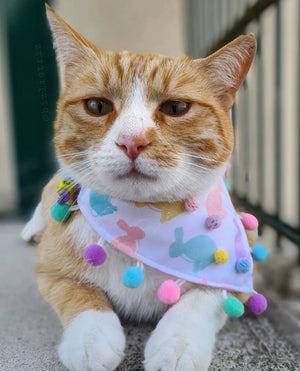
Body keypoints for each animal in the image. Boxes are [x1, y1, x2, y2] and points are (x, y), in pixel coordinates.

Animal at [21, 3, 255, 371]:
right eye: (97, 106)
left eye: (176, 108)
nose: (132, 141)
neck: (141, 226)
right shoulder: (50, 271)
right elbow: (76, 293)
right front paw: (91, 338)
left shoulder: (236, 273)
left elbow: (203, 299)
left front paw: (177, 345)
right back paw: (32, 228)